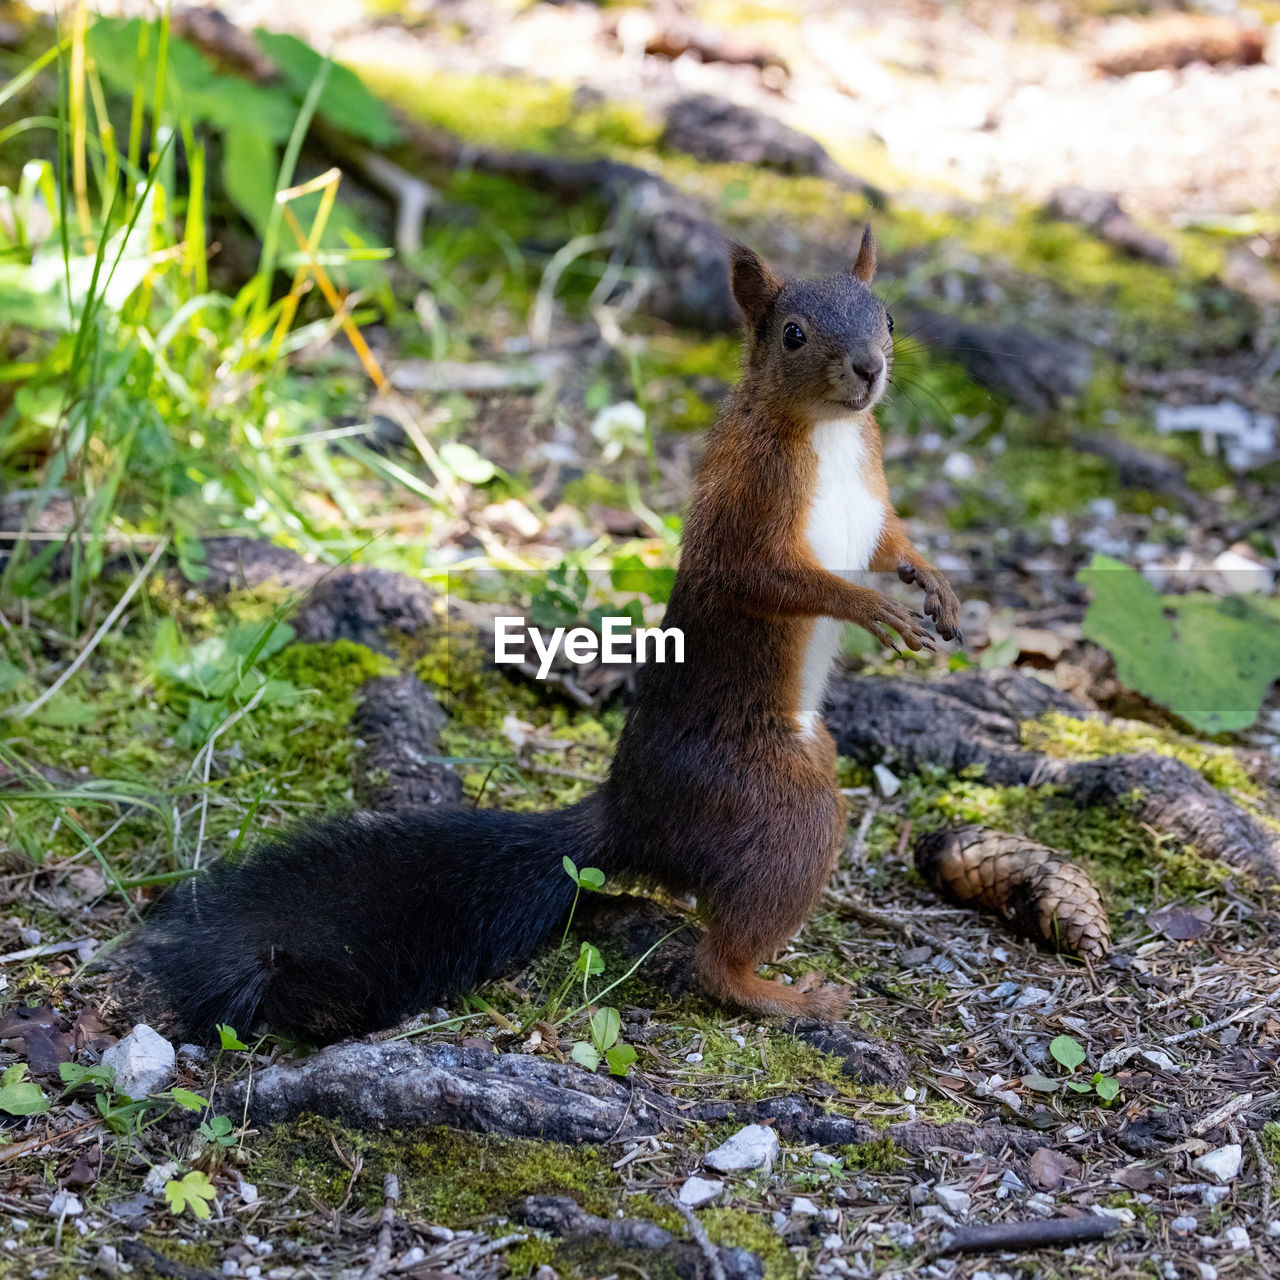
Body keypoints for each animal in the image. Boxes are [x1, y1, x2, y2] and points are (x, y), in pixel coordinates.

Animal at [137, 230, 962, 1044]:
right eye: (793, 334)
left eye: (888, 318)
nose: (870, 369)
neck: (831, 433)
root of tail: (631, 814)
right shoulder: (748, 503)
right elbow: (769, 579)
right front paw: (869, 606)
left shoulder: (873, 491)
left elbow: (890, 541)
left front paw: (933, 584)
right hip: (781, 810)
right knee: (717, 960)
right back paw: (782, 996)